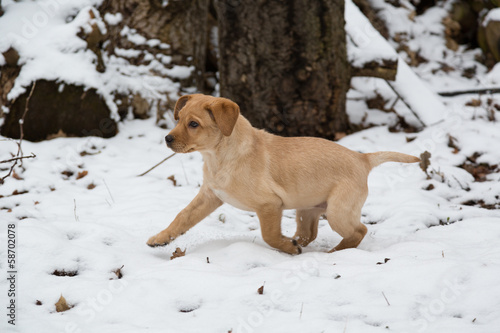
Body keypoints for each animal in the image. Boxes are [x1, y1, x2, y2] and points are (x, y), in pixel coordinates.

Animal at [146, 94, 420, 254]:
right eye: (178, 118)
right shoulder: (210, 195)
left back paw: (334, 251)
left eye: (193, 124)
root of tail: (362, 158)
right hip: (307, 209)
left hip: (338, 212)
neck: (219, 157)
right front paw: (161, 238)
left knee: (359, 231)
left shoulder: (269, 205)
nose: (167, 139)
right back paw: (298, 242)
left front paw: (285, 247)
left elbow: (269, 235)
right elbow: (183, 216)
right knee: (309, 233)